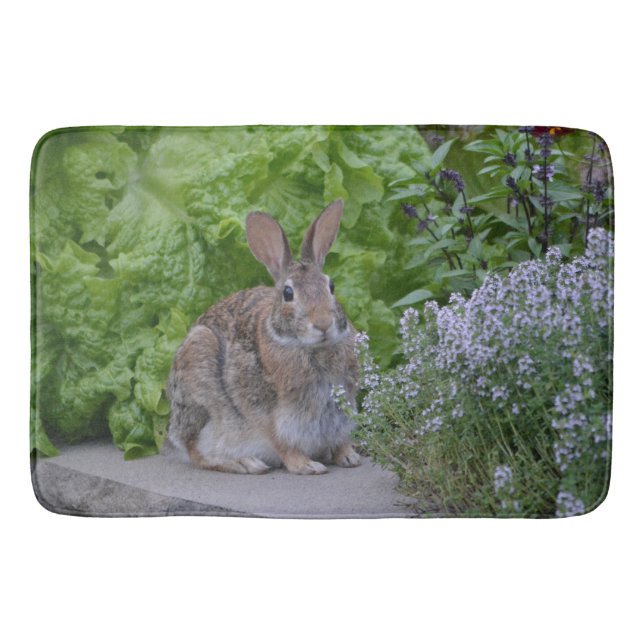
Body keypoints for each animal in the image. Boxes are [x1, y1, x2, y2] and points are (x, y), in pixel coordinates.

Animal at [164, 200, 362, 474]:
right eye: (288, 293)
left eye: (331, 286)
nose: (323, 324)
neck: (309, 347)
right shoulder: (269, 415)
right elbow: (282, 442)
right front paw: (306, 466)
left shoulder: (342, 409)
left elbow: (340, 438)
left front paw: (349, 456)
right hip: (199, 381)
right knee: (196, 451)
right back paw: (245, 463)